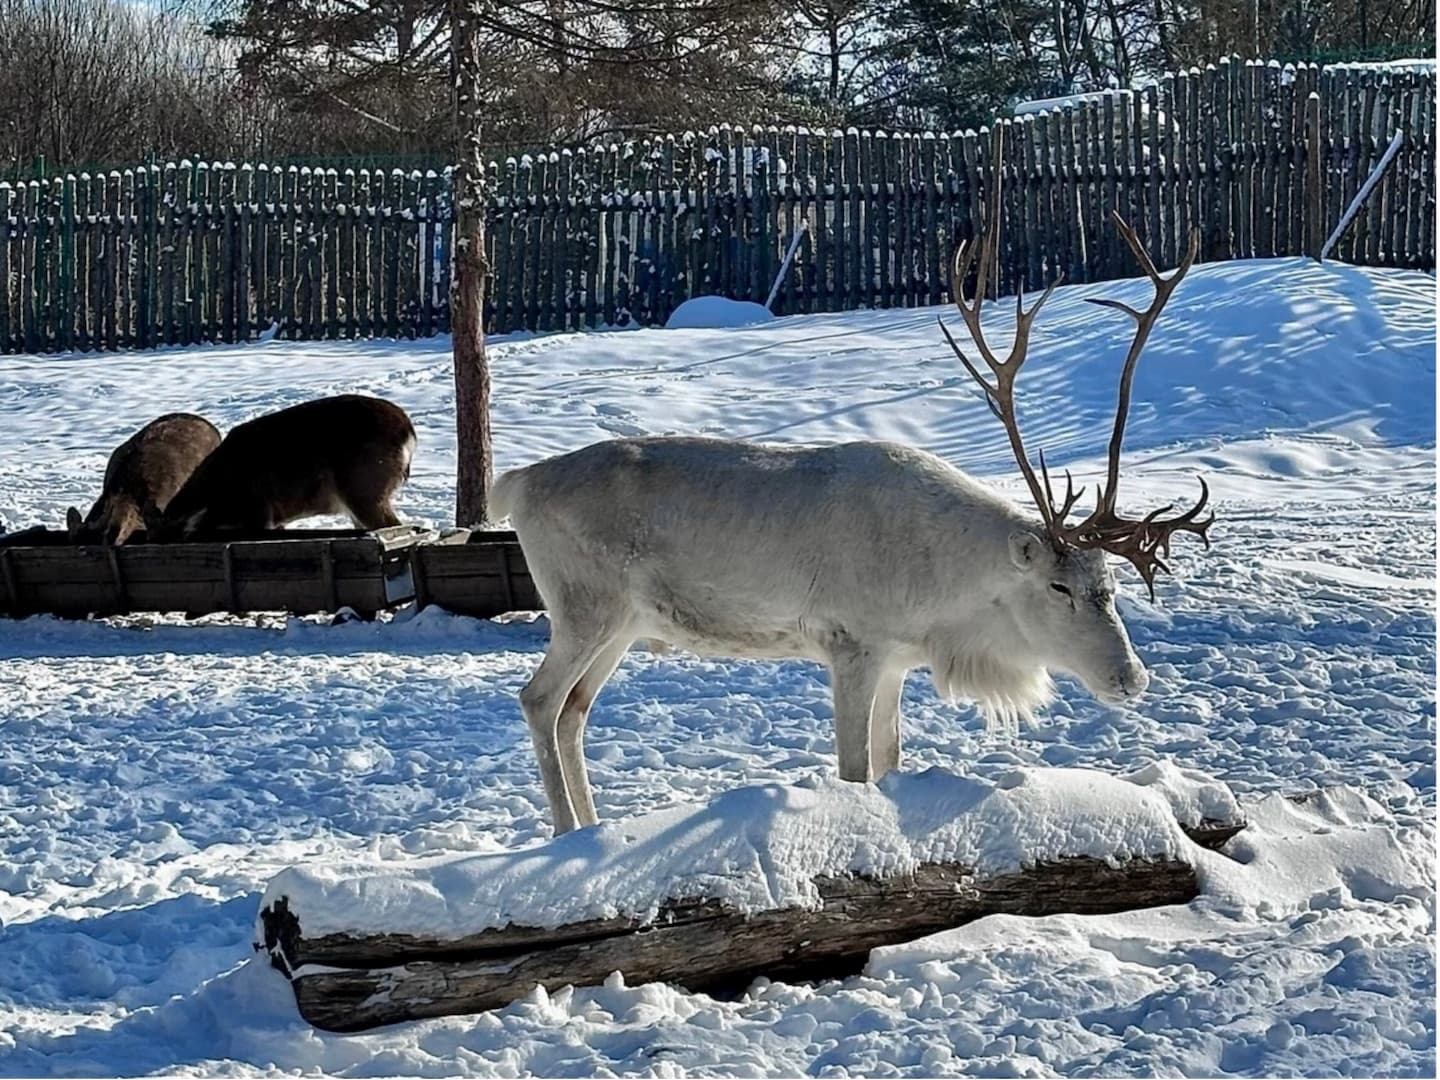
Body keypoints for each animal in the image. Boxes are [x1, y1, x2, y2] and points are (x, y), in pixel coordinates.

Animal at [493, 211, 1212, 834]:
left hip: (625, 622)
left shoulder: (896, 658)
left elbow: (891, 762)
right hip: (586, 604)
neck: (944, 601)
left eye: (1111, 585)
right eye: (1058, 587)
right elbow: (855, 770)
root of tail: (517, 483)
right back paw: (568, 833)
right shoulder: (850, 642)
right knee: (540, 700)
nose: (1131, 677)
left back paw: (592, 827)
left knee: (574, 711)